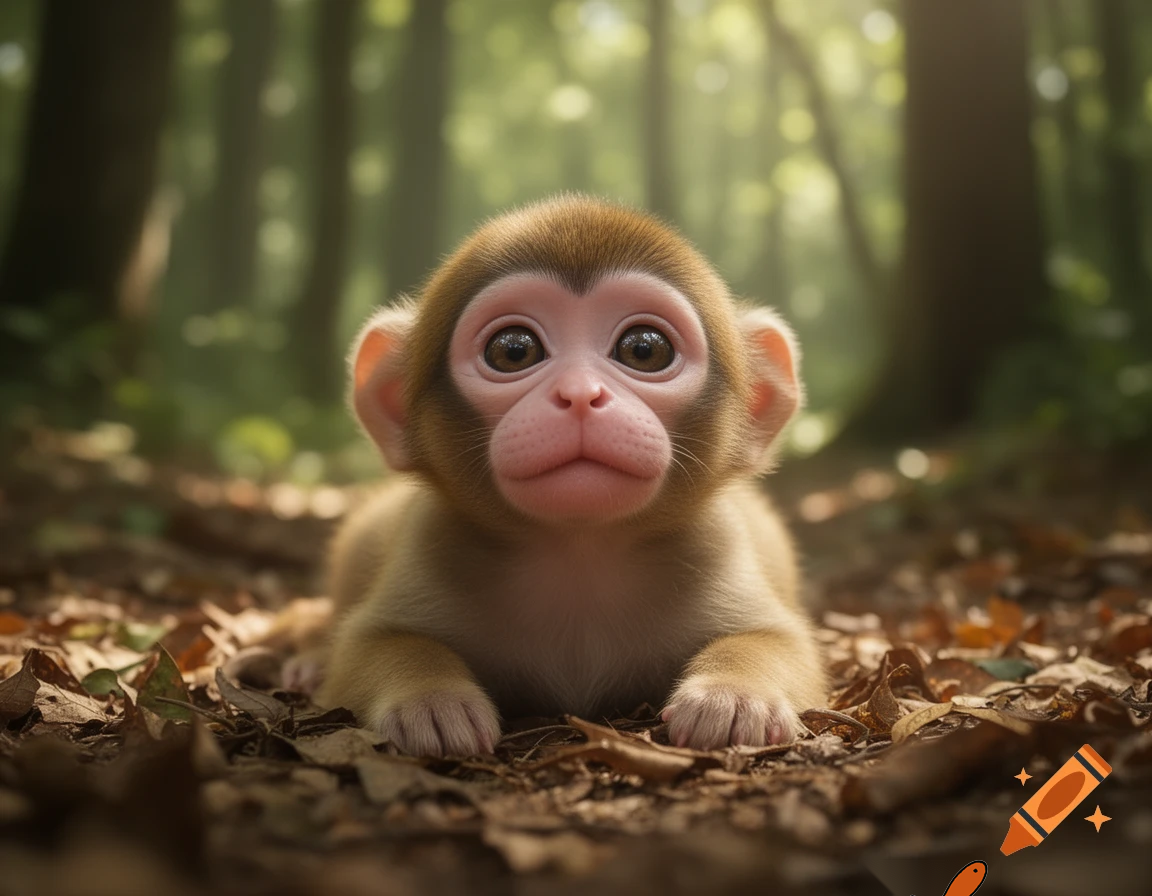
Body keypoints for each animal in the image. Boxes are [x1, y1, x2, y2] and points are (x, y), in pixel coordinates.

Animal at [311, 195, 827, 757]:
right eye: (514, 350)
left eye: (644, 349)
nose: (580, 394)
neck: (579, 550)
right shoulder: (426, 549)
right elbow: (367, 648)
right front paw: (428, 698)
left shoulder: (720, 550)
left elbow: (781, 643)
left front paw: (734, 695)